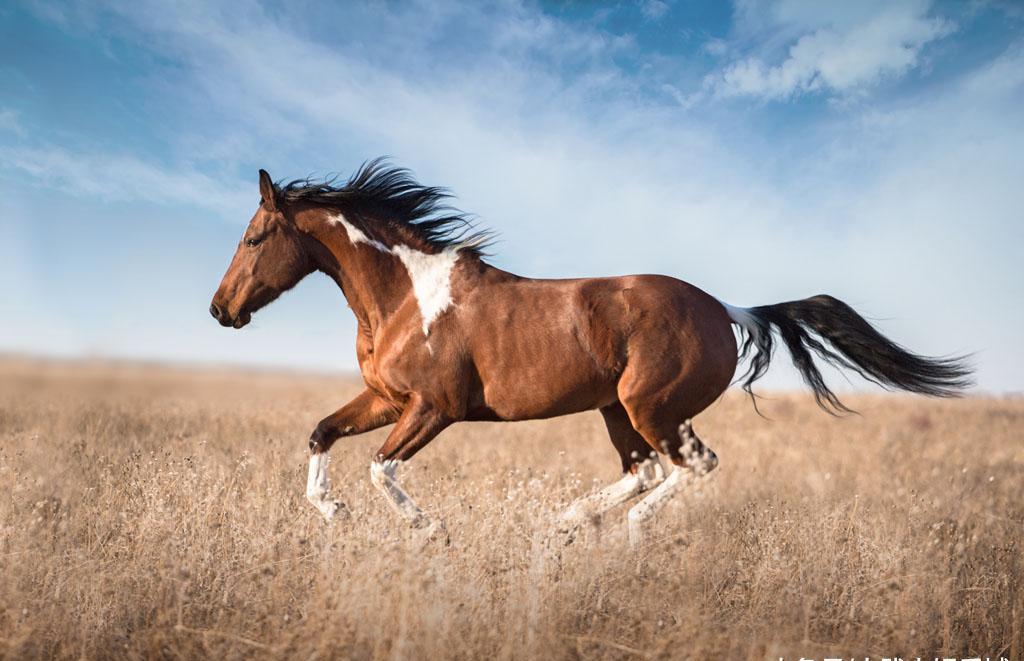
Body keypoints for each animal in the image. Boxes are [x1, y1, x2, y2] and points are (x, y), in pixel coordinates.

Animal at [205, 159, 966, 544]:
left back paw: (623, 533)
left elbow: (380, 468)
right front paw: (332, 512)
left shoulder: (434, 406)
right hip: (616, 409)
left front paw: (428, 529)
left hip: (651, 406)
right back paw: (569, 520)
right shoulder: (387, 398)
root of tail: (726, 309)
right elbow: (321, 433)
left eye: (252, 238)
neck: (405, 296)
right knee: (646, 470)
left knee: (689, 466)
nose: (220, 310)